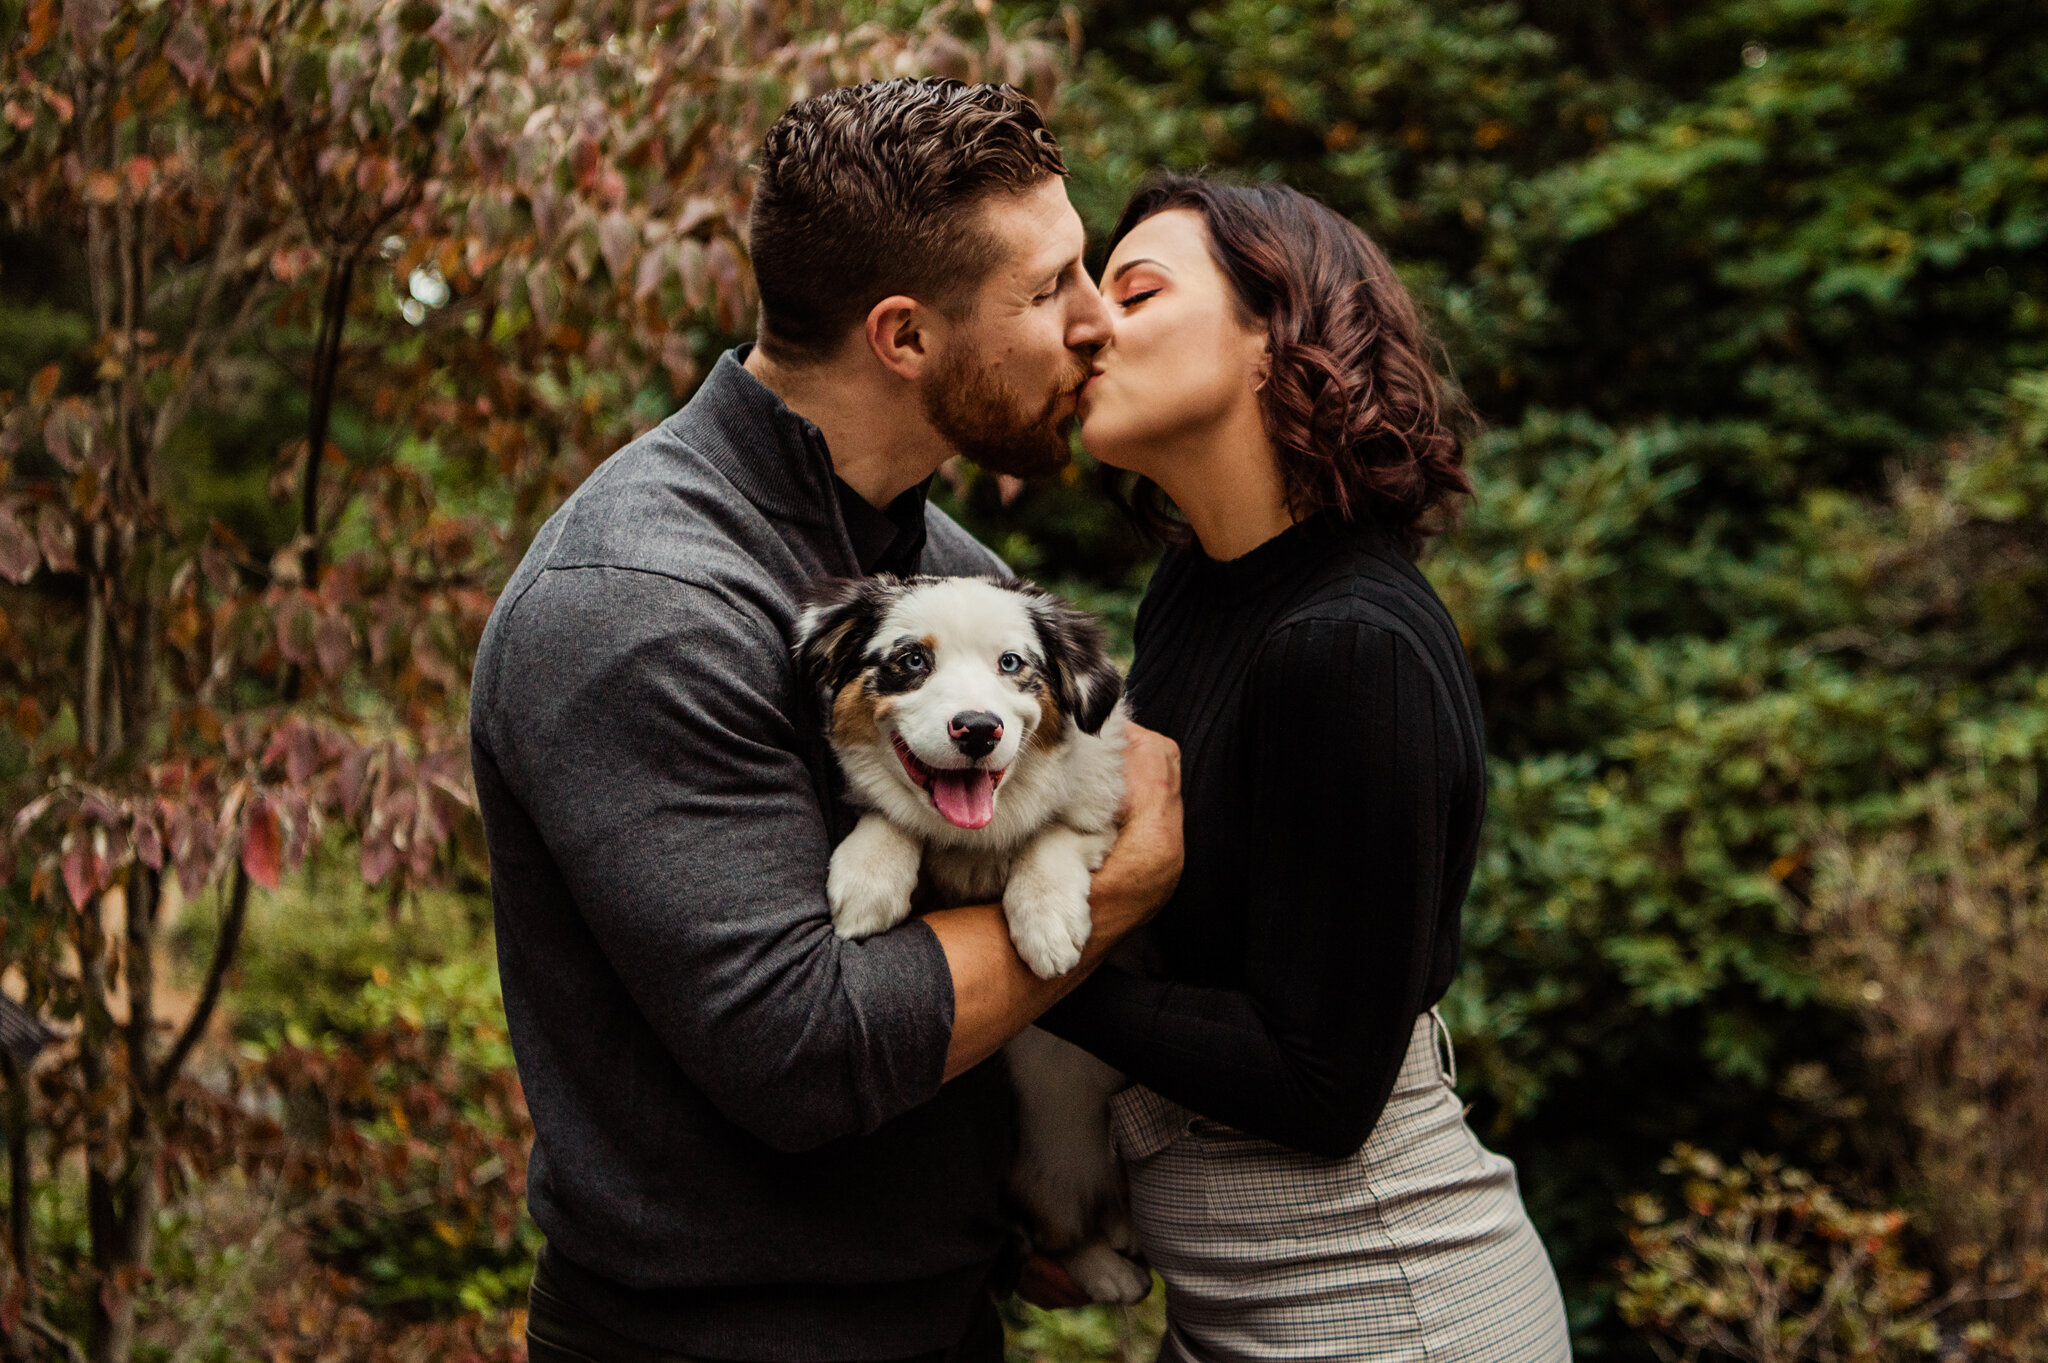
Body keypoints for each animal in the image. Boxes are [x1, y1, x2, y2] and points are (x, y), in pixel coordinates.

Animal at [790, 568, 1155, 1293]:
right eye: (912, 660)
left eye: (1011, 664)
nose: (979, 729)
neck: (977, 839)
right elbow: (893, 817)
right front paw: (868, 881)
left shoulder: (1104, 808)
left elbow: (1057, 832)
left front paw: (1048, 922)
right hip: (1049, 1170)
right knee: (1061, 1233)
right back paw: (1108, 1267)